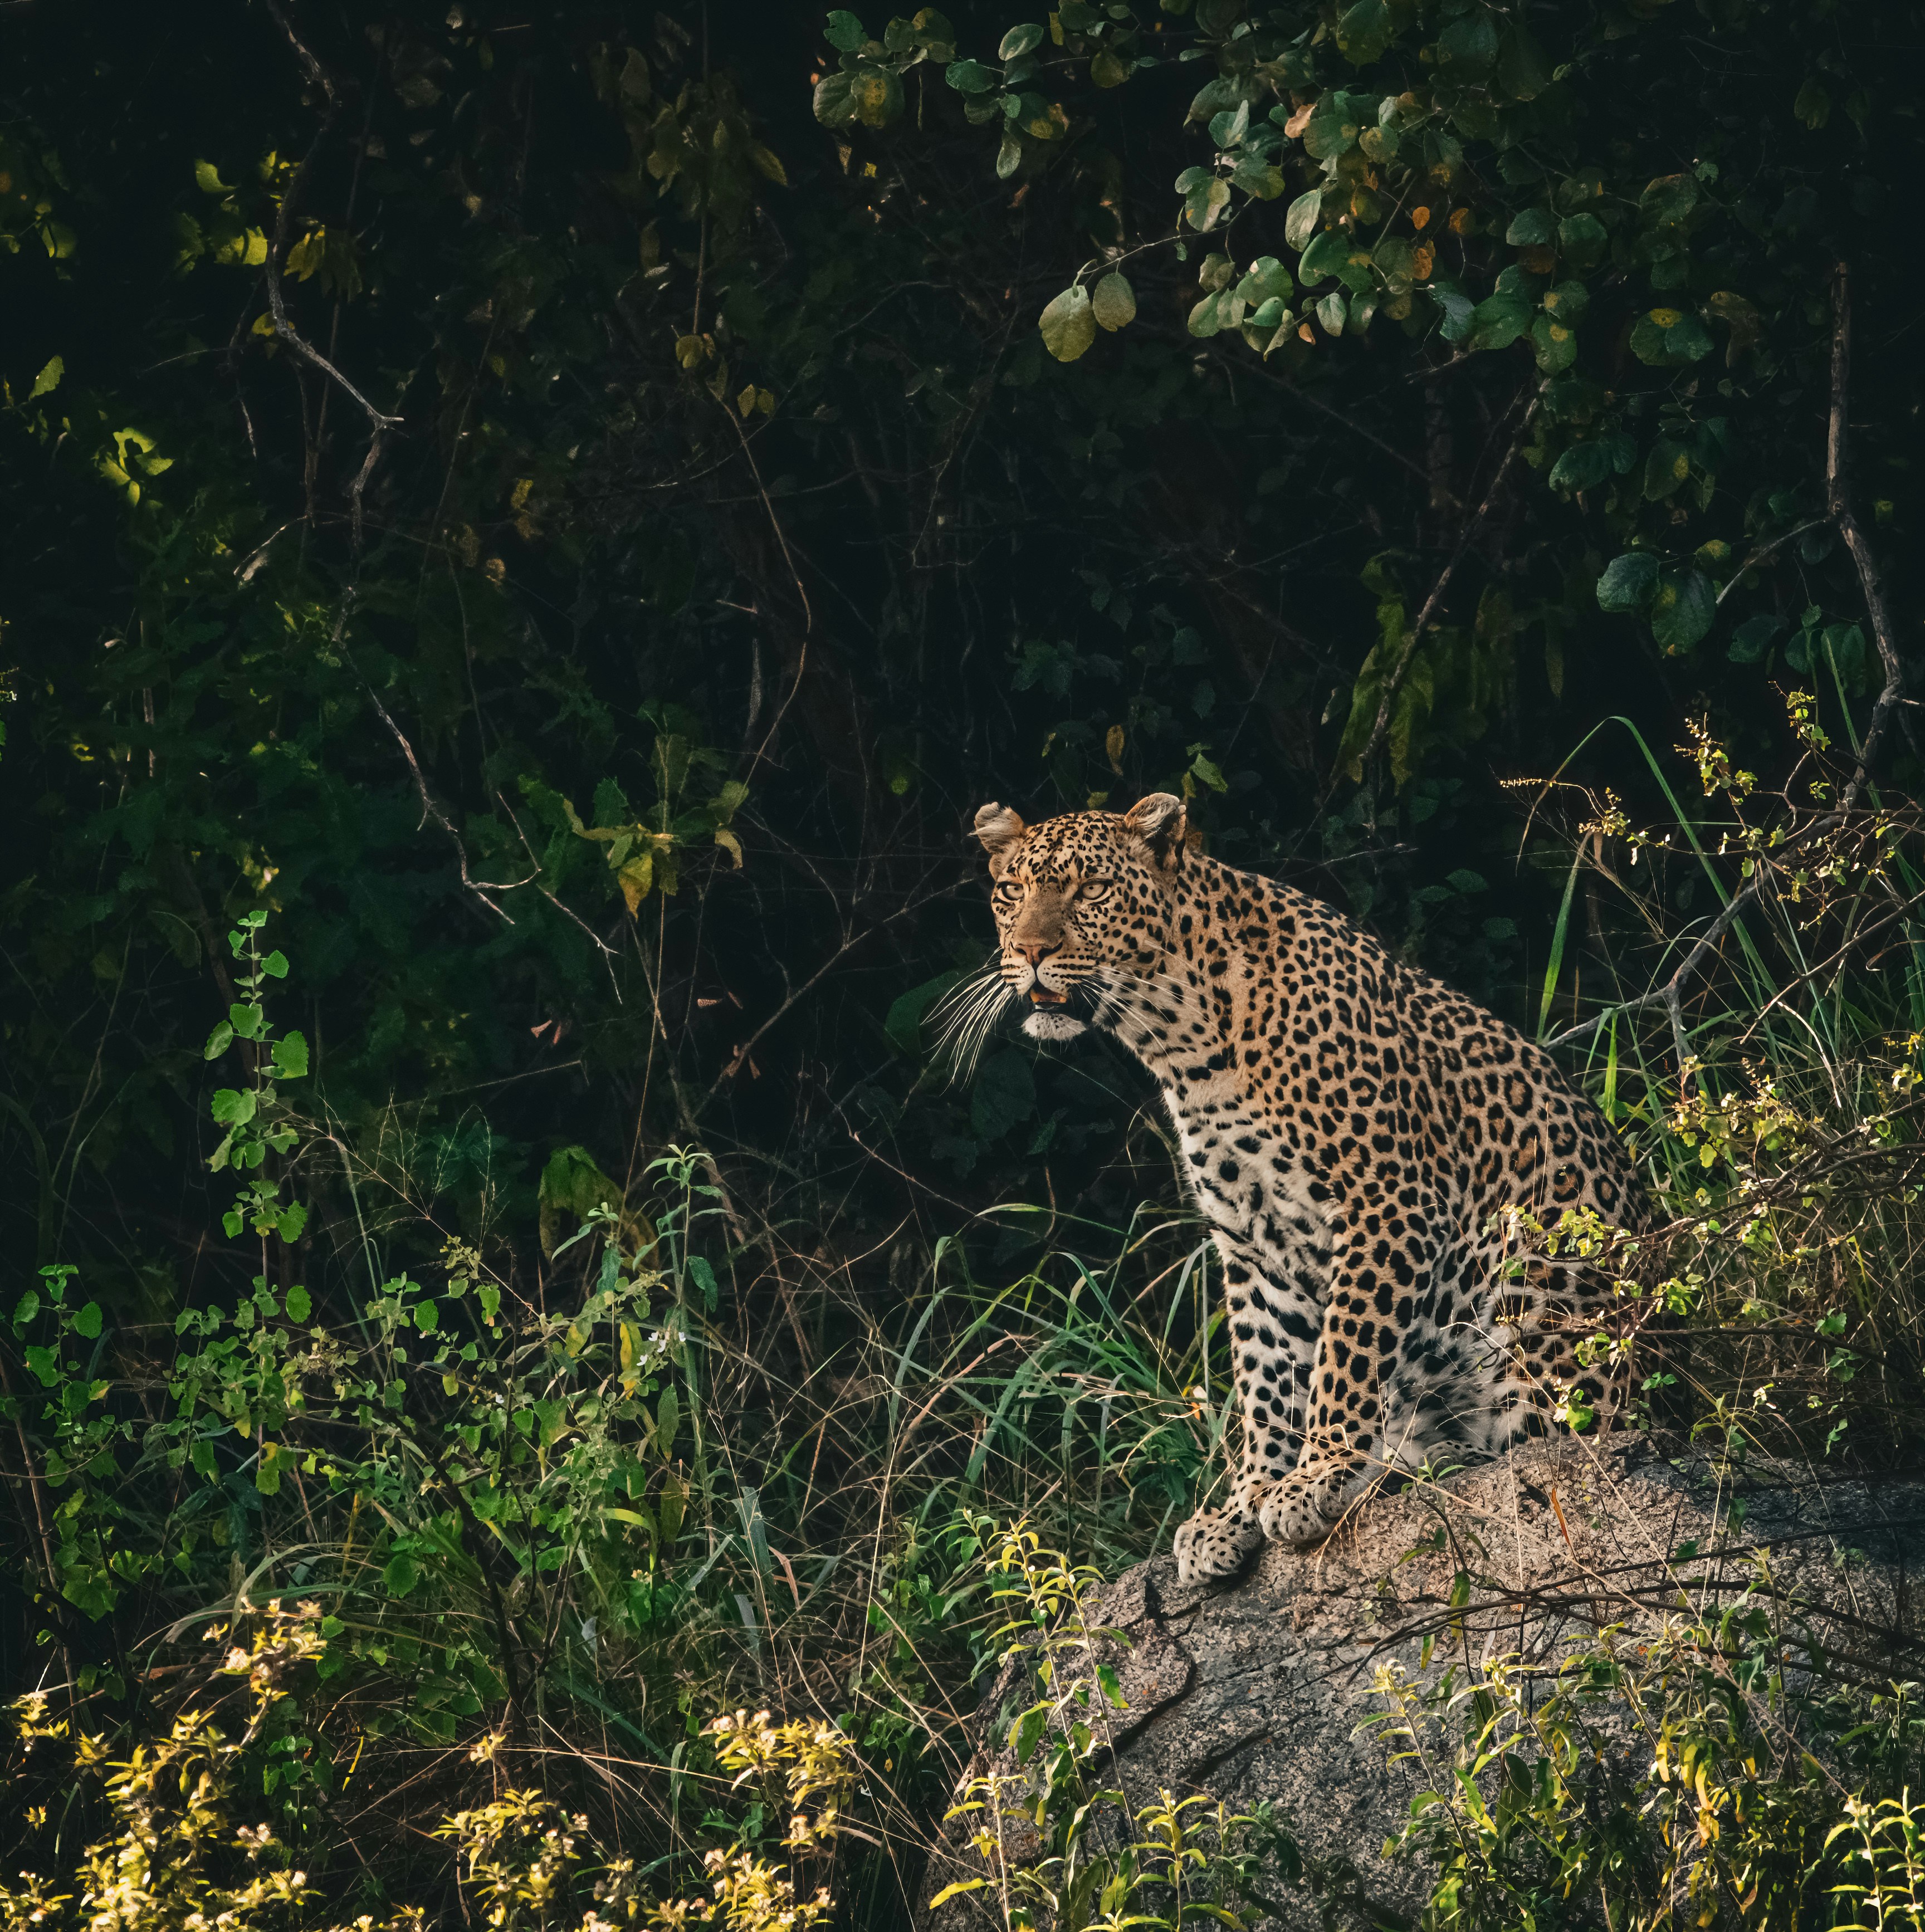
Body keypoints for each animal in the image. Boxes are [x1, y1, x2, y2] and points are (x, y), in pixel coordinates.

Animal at [967, 790, 1651, 1584]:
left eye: (1092, 890)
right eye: (1011, 892)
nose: (1029, 952)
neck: (1183, 1040)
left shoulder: (1387, 1201)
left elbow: (1343, 1354)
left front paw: (1319, 1474)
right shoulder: (1251, 1238)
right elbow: (1266, 1380)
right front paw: (1241, 1505)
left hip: (1532, 1285)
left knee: (1548, 1434)